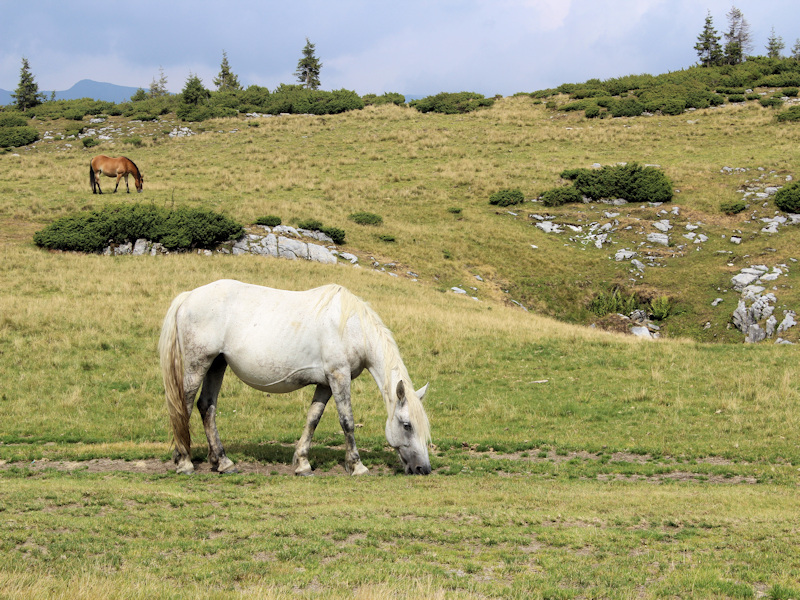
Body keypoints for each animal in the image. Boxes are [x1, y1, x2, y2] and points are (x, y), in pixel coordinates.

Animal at [160, 282, 434, 478]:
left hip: (217, 364)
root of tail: (188, 296)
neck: (352, 326)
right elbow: (347, 421)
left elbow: (313, 419)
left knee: (206, 406)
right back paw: (185, 462)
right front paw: (357, 466)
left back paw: (222, 462)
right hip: (198, 364)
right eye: (407, 425)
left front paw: (302, 464)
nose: (424, 469)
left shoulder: (325, 383)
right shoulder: (339, 376)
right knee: (184, 407)